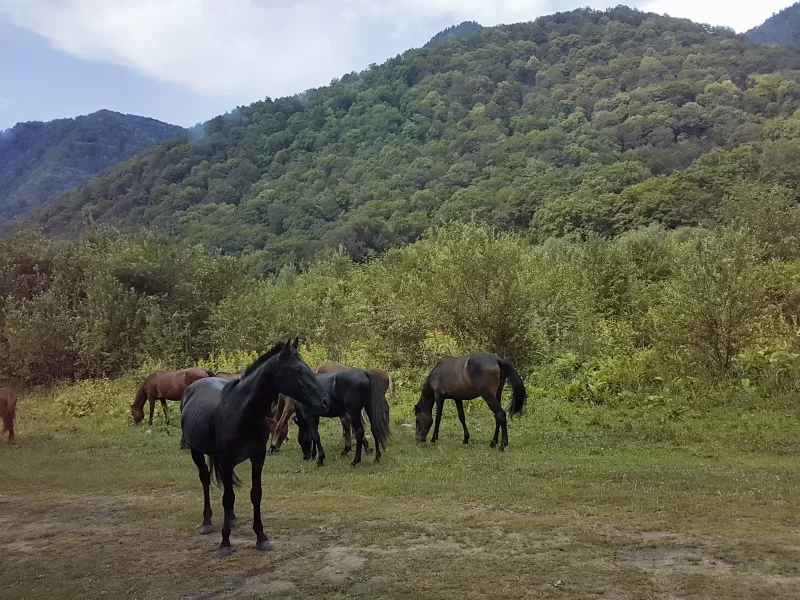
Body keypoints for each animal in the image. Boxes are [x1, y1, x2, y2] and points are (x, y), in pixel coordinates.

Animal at [180, 338, 329, 557]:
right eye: (296, 369)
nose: (325, 401)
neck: (242, 411)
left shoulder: (257, 456)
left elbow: (255, 494)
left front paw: (261, 537)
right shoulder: (225, 460)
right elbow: (227, 498)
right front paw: (225, 543)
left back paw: (233, 519)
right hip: (196, 451)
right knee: (205, 479)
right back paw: (206, 521)